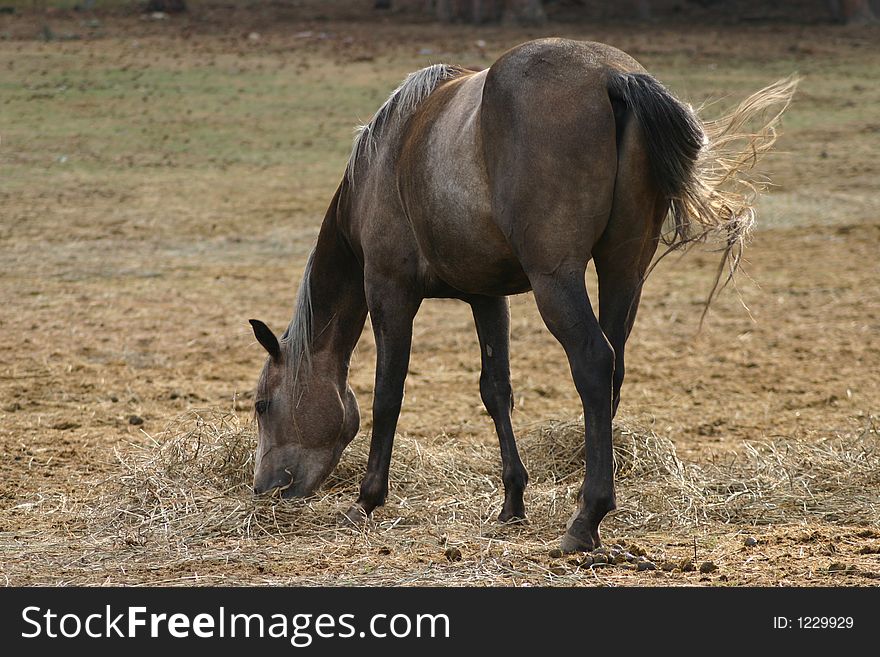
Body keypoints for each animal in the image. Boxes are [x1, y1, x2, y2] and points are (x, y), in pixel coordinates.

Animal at [248, 36, 796, 548]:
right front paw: (512, 501)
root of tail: (612, 75)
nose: (264, 488)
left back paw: (587, 517)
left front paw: (366, 499)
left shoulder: (389, 292)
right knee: (614, 367)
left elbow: (389, 393)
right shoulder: (487, 297)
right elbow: (496, 390)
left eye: (261, 405)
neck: (386, 157)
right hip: (624, 272)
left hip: (556, 279)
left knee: (594, 360)